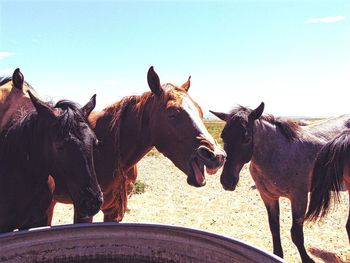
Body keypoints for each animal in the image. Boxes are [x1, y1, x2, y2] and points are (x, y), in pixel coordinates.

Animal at [52, 67, 227, 224]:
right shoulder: (84, 211)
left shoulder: (114, 211)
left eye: (200, 112)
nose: (216, 156)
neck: (106, 148)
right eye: (172, 114)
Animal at [211, 103, 350, 263]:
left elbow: (296, 234)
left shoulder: (299, 198)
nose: (227, 181)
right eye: (223, 136)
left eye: (246, 138)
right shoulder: (268, 197)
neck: (278, 155)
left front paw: (307, 259)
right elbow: (274, 228)